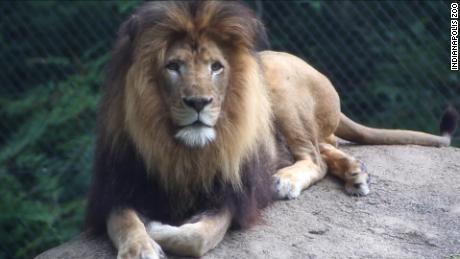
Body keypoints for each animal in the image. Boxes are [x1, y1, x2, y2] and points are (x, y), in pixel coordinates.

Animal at [84, 1, 458, 258]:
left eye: (216, 67)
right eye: (173, 67)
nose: (199, 102)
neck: (182, 149)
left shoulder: (231, 197)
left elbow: (195, 237)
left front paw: (158, 229)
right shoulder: (120, 187)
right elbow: (126, 222)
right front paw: (141, 246)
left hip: (277, 88)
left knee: (315, 156)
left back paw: (287, 180)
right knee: (327, 146)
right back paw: (356, 172)